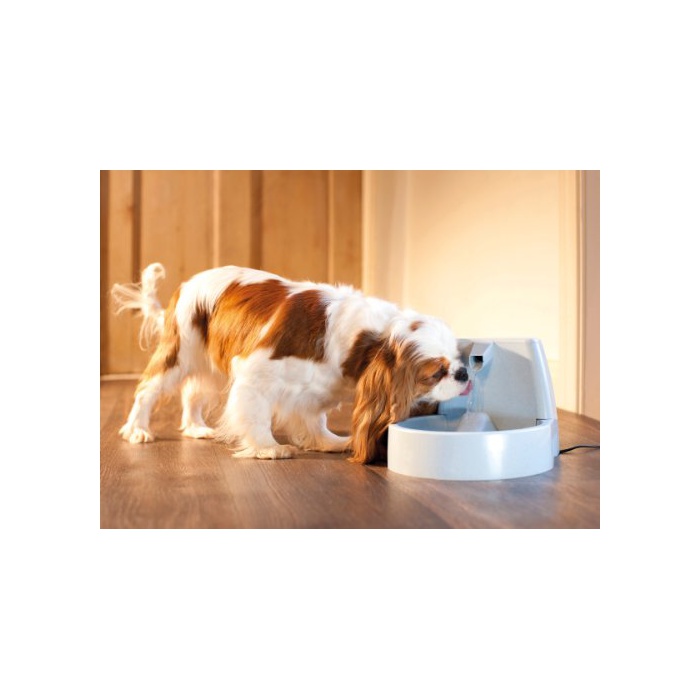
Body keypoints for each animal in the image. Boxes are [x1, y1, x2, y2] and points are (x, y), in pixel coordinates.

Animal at [112, 263, 469, 464]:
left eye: (459, 357)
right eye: (435, 373)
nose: (464, 373)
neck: (364, 339)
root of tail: (187, 284)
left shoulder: (315, 390)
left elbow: (313, 419)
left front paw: (328, 442)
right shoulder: (255, 375)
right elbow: (256, 417)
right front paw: (268, 448)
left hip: (208, 364)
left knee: (192, 393)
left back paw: (195, 427)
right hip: (181, 353)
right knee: (148, 389)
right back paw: (138, 429)